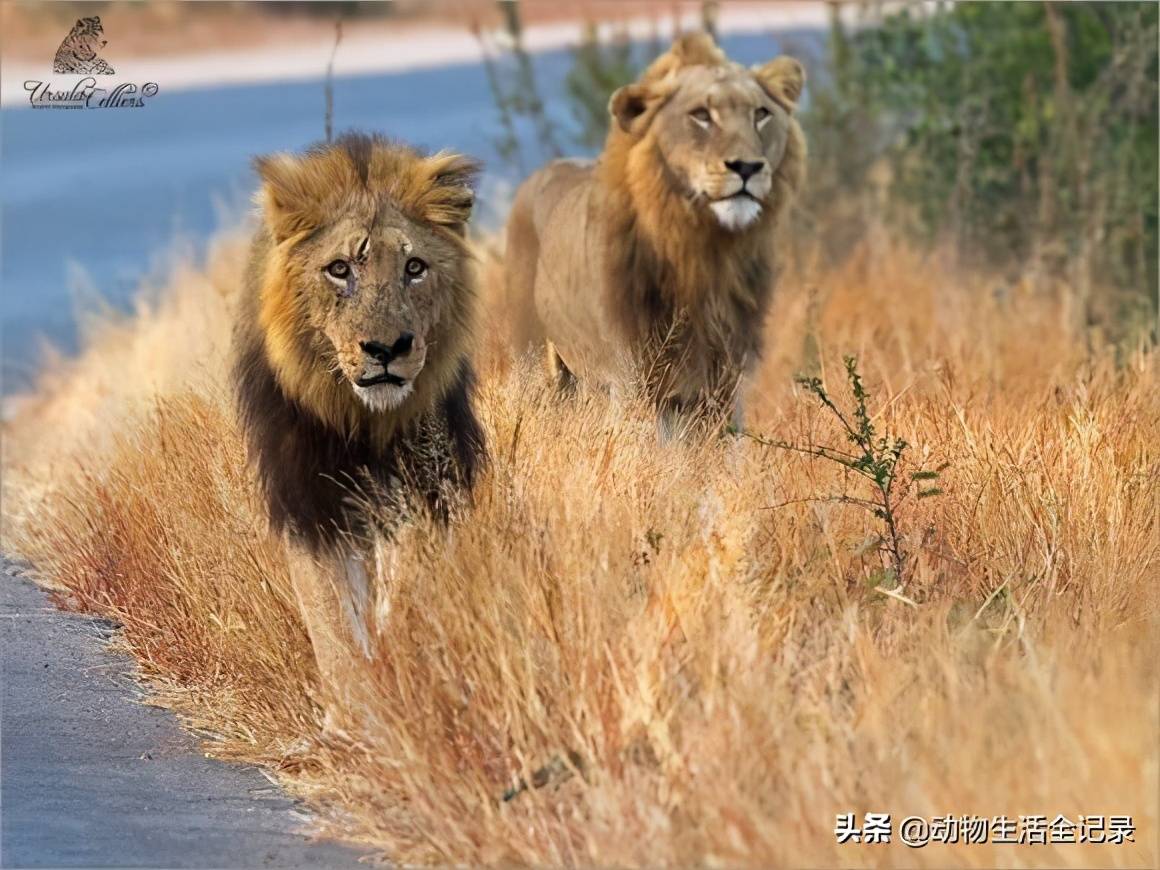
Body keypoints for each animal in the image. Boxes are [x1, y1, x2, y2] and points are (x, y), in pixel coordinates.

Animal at [233, 132, 487, 709]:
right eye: (339, 269)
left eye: (414, 268)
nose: (387, 349)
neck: (360, 421)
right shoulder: (309, 503)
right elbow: (331, 623)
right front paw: (357, 711)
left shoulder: (421, 487)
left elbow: (406, 584)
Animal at [503, 34, 802, 436]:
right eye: (701, 115)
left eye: (761, 114)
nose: (747, 167)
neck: (705, 250)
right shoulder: (632, 380)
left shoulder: (725, 383)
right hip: (535, 364)